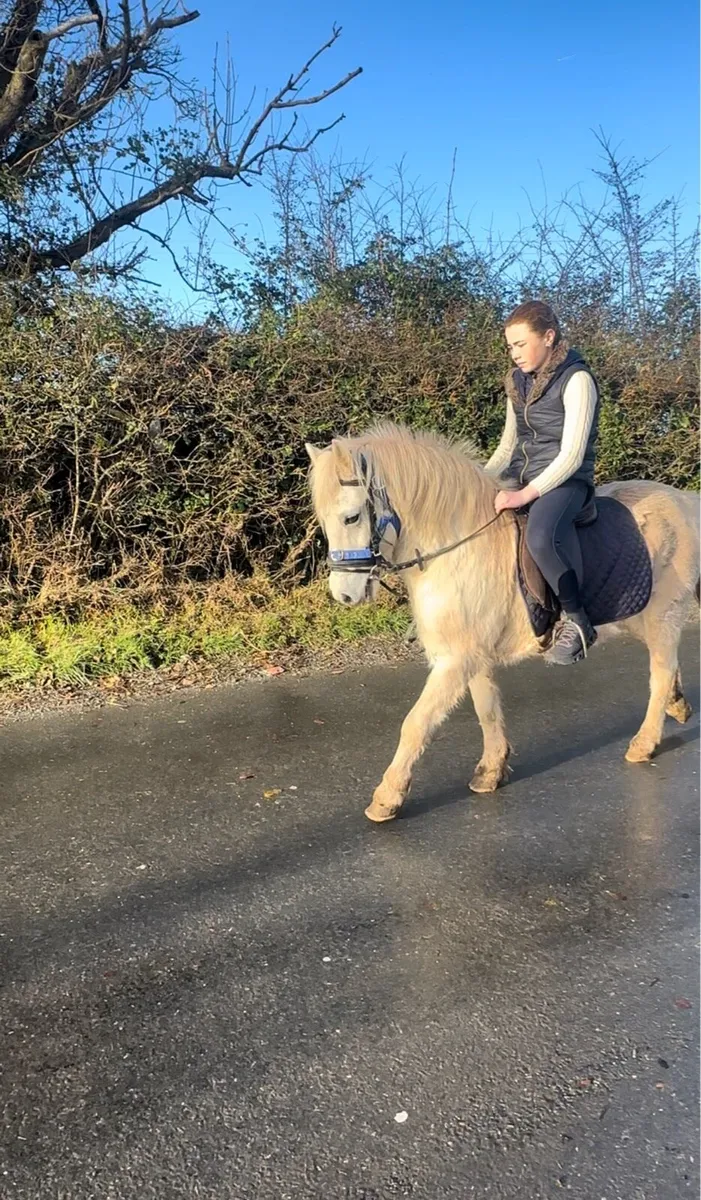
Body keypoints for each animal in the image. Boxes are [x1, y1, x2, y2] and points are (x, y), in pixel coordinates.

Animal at [306, 422, 699, 823]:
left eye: (351, 517)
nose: (344, 595)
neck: (456, 549)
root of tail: (684, 500)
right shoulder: (474, 654)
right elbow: (487, 710)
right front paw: (491, 771)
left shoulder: (456, 661)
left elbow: (417, 723)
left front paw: (387, 797)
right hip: (638, 617)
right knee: (666, 666)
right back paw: (677, 705)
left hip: (663, 614)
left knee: (661, 672)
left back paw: (644, 743)